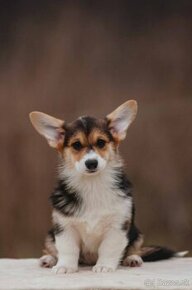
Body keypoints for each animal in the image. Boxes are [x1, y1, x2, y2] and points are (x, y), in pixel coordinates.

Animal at [29, 101, 187, 274]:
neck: (92, 184)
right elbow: (67, 249)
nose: (91, 163)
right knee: (52, 249)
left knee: (134, 250)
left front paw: (104, 266)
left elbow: (108, 248)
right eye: (76, 145)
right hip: (50, 235)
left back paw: (133, 259)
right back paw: (48, 259)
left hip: (136, 233)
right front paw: (65, 266)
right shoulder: (64, 226)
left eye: (101, 142)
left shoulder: (117, 226)